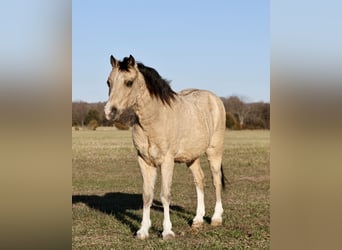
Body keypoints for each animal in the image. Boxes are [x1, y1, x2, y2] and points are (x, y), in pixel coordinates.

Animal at [104, 55, 227, 240]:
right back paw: (198, 220)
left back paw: (216, 218)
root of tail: (214, 98)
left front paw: (167, 232)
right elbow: (147, 195)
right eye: (108, 82)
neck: (155, 118)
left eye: (129, 82)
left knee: (216, 180)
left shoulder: (167, 161)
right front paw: (142, 231)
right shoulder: (144, 161)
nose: (109, 112)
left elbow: (165, 195)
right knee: (199, 180)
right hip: (192, 157)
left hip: (214, 151)